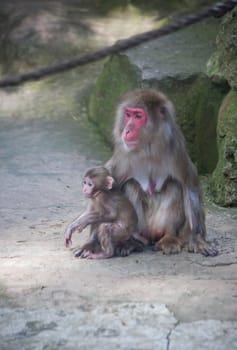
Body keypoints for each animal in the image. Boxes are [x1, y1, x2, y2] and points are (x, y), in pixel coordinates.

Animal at [104, 89, 218, 256]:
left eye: (138, 116)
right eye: (128, 114)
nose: (127, 130)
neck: (149, 146)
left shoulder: (176, 150)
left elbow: (189, 184)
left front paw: (197, 239)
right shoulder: (123, 155)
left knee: (174, 186)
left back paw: (169, 238)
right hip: (142, 227)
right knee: (131, 186)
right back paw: (132, 241)